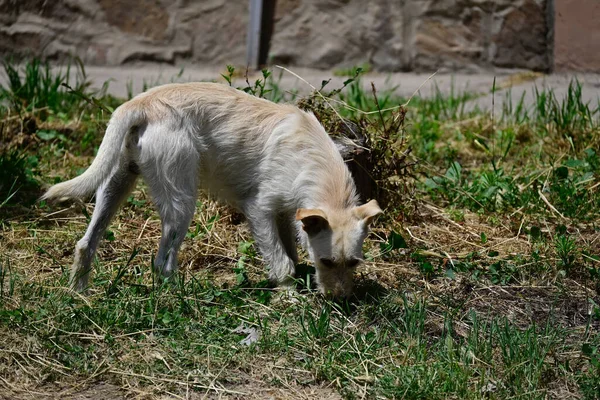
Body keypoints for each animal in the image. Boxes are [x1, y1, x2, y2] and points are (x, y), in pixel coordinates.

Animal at [42, 83, 382, 298]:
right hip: (182, 203)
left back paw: (79, 294)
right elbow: (281, 259)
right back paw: (180, 298)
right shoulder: (259, 209)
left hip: (115, 185)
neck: (312, 159)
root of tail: (140, 104)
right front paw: (289, 294)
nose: (340, 301)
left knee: (86, 243)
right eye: (326, 262)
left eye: (353, 263)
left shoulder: (287, 214)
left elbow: (290, 252)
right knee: (162, 262)